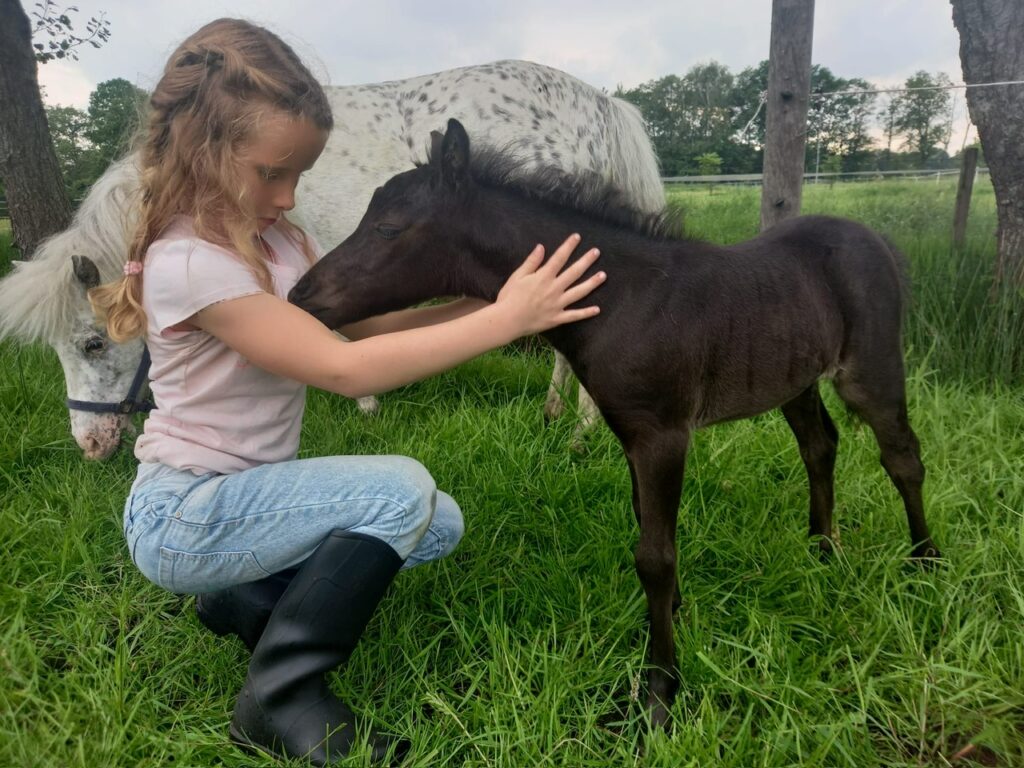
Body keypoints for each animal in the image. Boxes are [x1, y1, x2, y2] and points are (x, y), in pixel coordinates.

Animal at [0, 60, 663, 460]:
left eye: (91, 344)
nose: (89, 444)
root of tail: (603, 104)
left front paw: (366, 407)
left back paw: (581, 431)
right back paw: (556, 413)